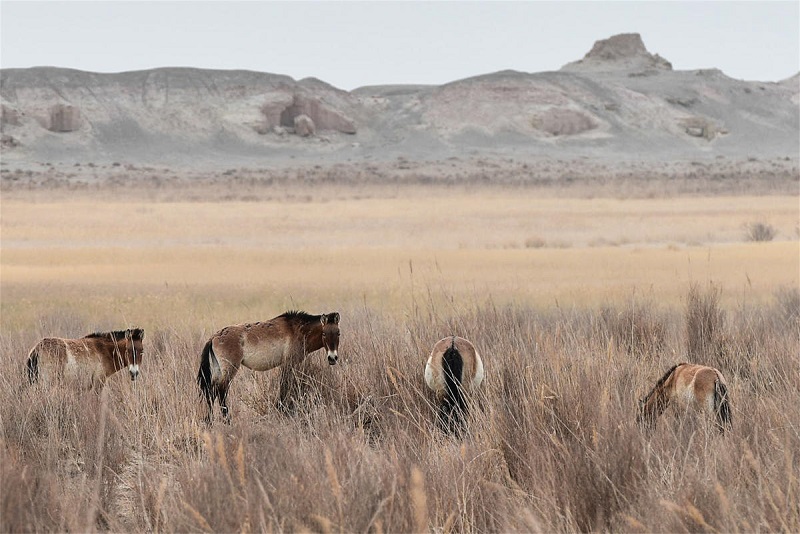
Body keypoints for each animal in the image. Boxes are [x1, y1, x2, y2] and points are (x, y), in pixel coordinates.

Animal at [199, 312, 340, 426]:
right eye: (324, 333)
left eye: (338, 333)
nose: (332, 358)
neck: (299, 330)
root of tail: (214, 337)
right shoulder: (289, 364)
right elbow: (285, 385)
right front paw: (282, 409)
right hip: (230, 369)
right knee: (221, 391)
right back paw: (227, 420)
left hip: (218, 371)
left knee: (211, 392)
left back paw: (209, 421)